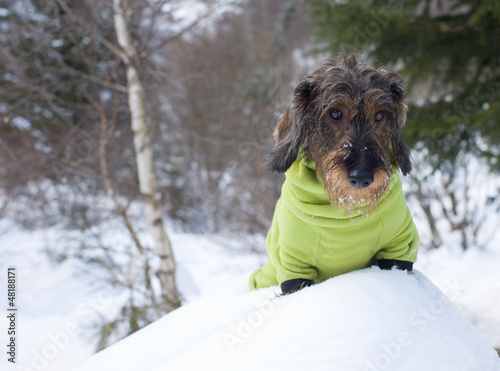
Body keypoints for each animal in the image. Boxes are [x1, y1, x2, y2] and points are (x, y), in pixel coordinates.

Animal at [249, 55, 418, 294]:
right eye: (335, 113)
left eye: (379, 115)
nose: (361, 177)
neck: (345, 217)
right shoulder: (293, 266)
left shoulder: (399, 248)